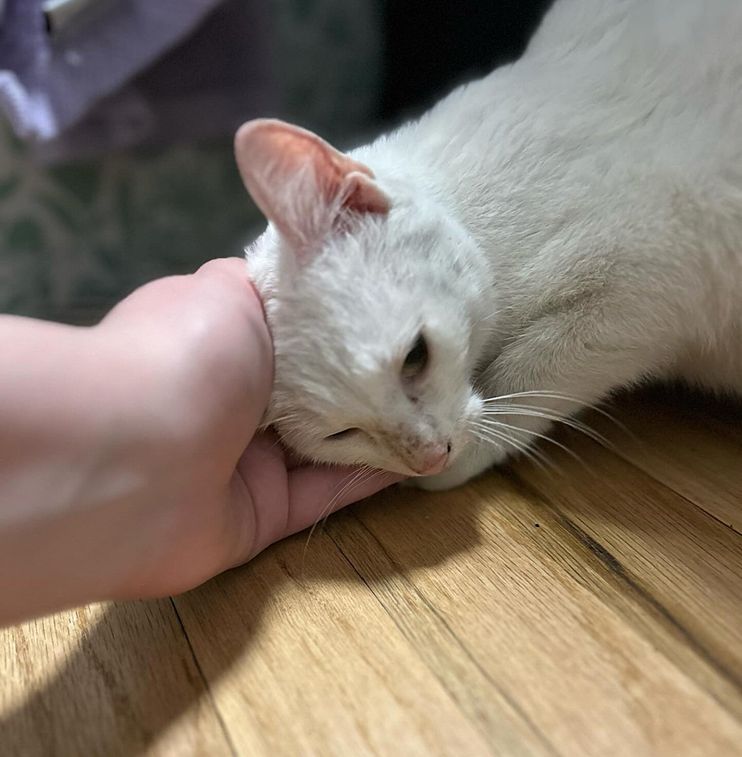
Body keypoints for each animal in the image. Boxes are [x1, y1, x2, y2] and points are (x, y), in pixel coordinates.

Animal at [235, 0, 742, 490]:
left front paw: (475, 446)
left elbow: (534, 366)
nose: (429, 458)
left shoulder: (655, 276)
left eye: (415, 356)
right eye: (341, 434)